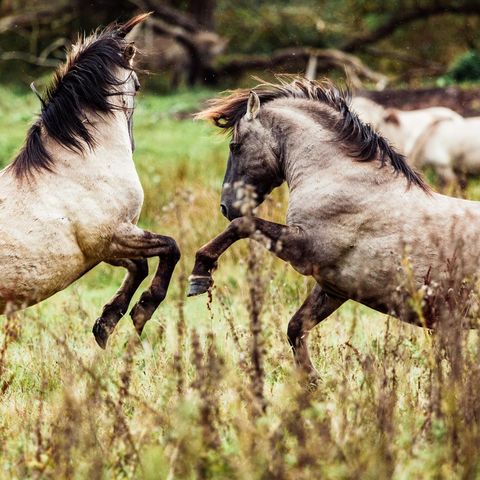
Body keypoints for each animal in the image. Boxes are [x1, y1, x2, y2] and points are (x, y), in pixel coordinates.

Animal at [0, 12, 180, 348]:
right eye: (137, 85)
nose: (132, 145)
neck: (78, 163)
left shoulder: (104, 250)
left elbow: (140, 266)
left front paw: (106, 324)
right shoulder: (113, 237)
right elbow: (170, 249)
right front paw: (141, 311)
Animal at [189, 77, 480, 380]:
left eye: (235, 146)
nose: (226, 207)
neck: (338, 178)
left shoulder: (303, 248)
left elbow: (242, 226)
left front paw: (200, 274)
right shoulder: (334, 287)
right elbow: (295, 328)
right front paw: (312, 382)